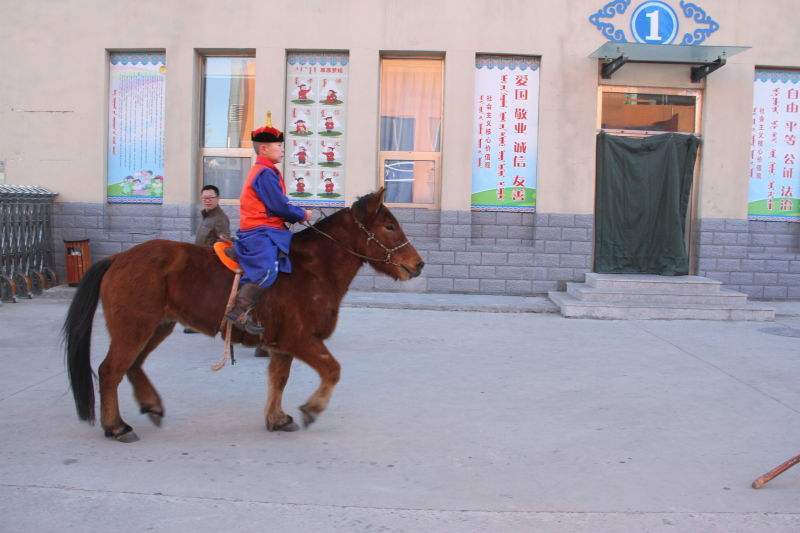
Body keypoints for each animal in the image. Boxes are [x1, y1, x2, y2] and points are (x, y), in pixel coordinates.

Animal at [63, 189, 424, 442]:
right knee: (110, 370)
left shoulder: (282, 345)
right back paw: (116, 427)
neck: (313, 270)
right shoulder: (301, 339)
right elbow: (332, 370)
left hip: (156, 327)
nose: (418, 264)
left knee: (133, 365)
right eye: (389, 226)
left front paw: (277, 419)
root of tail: (119, 258)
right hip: (134, 328)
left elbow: (279, 379)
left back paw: (150, 405)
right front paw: (311, 409)